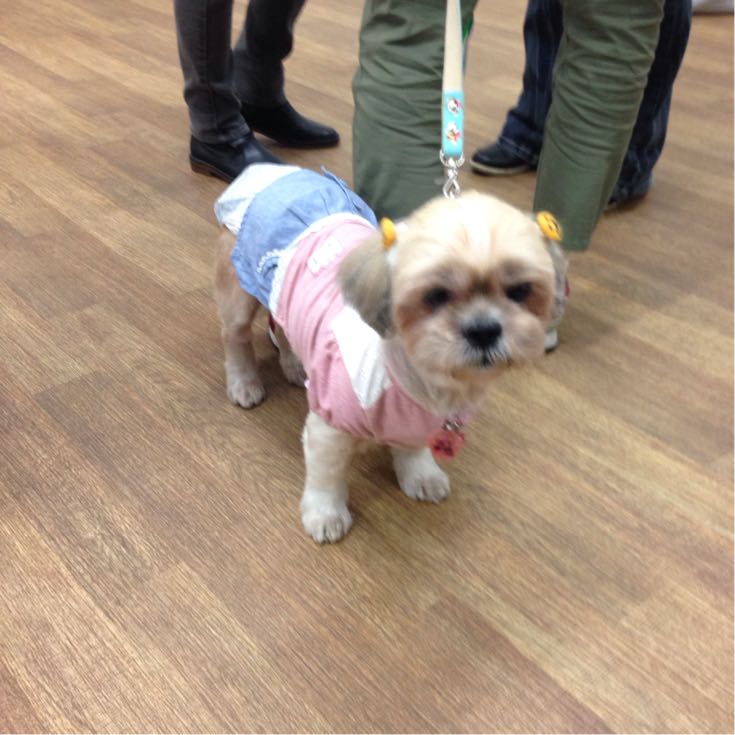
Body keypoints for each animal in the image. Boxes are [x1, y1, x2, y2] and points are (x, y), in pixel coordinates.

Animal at [213, 164, 561, 543]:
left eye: (520, 291)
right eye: (435, 295)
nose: (483, 329)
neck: (419, 381)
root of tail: (272, 170)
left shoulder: (420, 423)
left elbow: (412, 448)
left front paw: (420, 474)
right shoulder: (328, 427)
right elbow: (326, 476)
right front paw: (325, 514)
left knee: (281, 324)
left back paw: (294, 365)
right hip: (240, 293)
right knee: (236, 338)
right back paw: (244, 384)